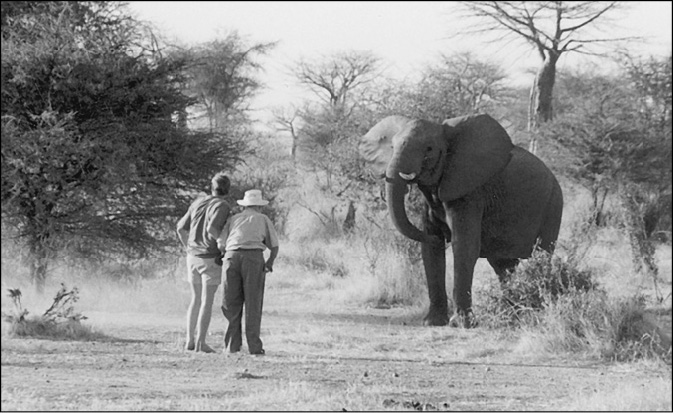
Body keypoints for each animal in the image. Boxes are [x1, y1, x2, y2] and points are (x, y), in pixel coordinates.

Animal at [356, 112, 560, 326]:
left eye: (429, 149)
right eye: (392, 147)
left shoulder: (470, 193)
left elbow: (463, 246)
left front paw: (462, 323)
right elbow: (430, 252)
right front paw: (433, 322)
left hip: (553, 205)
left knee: (542, 256)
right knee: (503, 267)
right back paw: (511, 315)